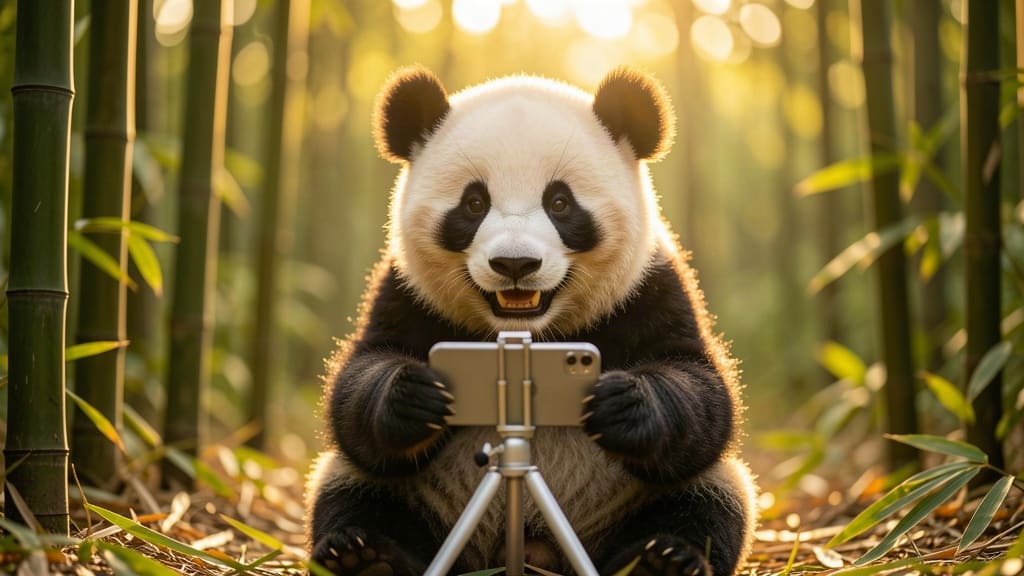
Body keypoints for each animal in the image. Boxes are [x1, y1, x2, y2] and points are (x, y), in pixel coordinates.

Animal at [306, 66, 757, 576]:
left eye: (560, 203)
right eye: (474, 204)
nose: (515, 264)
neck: (529, 334)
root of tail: (531, 545)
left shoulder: (650, 288)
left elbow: (702, 390)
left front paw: (626, 404)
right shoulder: (405, 292)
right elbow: (358, 389)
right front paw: (412, 396)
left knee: (707, 500)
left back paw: (662, 559)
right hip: (411, 494)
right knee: (355, 491)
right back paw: (362, 554)